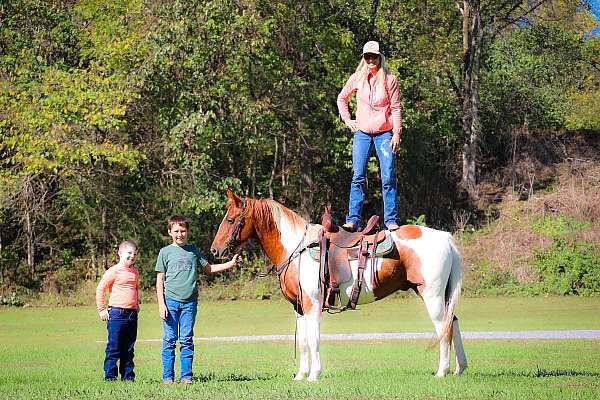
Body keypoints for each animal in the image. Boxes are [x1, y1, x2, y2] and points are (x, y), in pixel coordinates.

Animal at [211, 191, 468, 382]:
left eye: (231, 219)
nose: (215, 250)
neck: (296, 249)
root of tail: (446, 238)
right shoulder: (299, 308)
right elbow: (303, 342)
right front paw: (300, 376)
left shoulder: (312, 304)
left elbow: (313, 339)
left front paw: (314, 375)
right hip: (440, 295)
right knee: (453, 321)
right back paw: (459, 369)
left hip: (432, 295)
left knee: (443, 327)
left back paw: (442, 371)